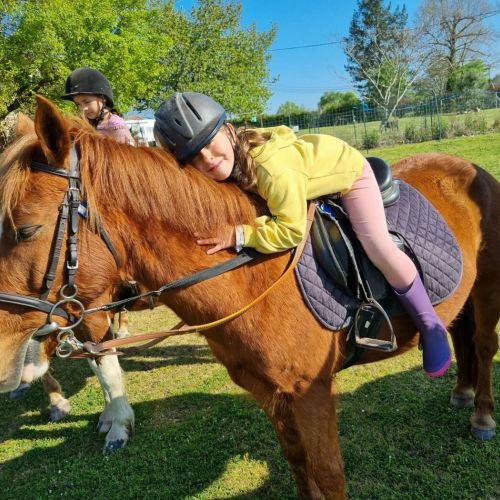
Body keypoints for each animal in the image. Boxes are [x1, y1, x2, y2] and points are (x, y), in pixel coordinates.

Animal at [0, 96, 498, 499]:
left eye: (24, 230)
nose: (7, 364)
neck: (253, 277)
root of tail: (467, 167)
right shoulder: (270, 394)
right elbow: (299, 465)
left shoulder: (311, 394)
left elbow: (328, 473)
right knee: (461, 332)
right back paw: (460, 391)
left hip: (487, 287)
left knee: (482, 344)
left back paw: (481, 416)